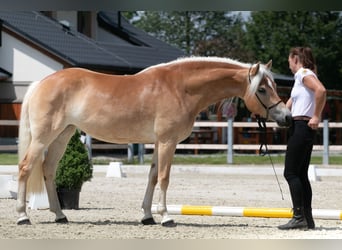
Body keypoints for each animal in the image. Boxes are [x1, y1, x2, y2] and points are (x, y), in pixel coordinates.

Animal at [16, 56, 292, 227]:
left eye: (273, 85)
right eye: (262, 89)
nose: (287, 117)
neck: (181, 88)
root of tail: (41, 82)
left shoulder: (159, 143)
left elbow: (151, 177)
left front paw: (148, 216)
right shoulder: (169, 142)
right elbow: (164, 178)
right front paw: (166, 217)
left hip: (63, 135)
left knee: (48, 170)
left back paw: (60, 214)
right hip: (43, 137)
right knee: (25, 168)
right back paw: (22, 217)